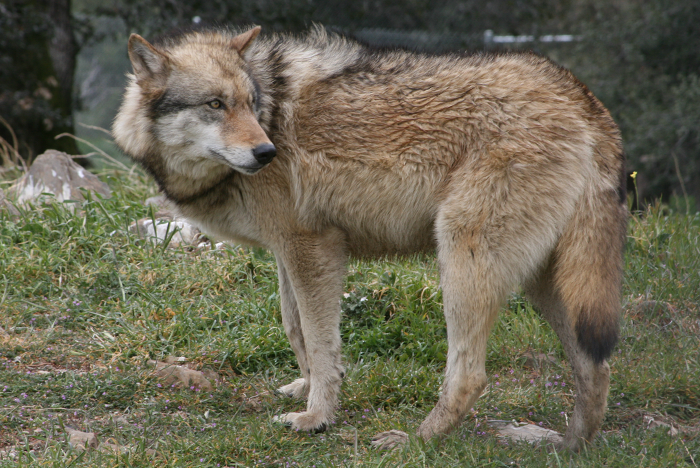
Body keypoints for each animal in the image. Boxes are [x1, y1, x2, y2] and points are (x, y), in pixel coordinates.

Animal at [115, 24, 628, 450]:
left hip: (463, 263)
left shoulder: (312, 246)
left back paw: (416, 441)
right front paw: (307, 390)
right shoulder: (288, 251)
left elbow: (319, 340)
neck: (273, 112)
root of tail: (582, 96)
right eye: (215, 104)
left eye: (246, 101)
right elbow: (295, 329)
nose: (266, 151)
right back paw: (570, 446)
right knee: (595, 365)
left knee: (470, 376)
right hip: (545, 284)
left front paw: (317, 417)